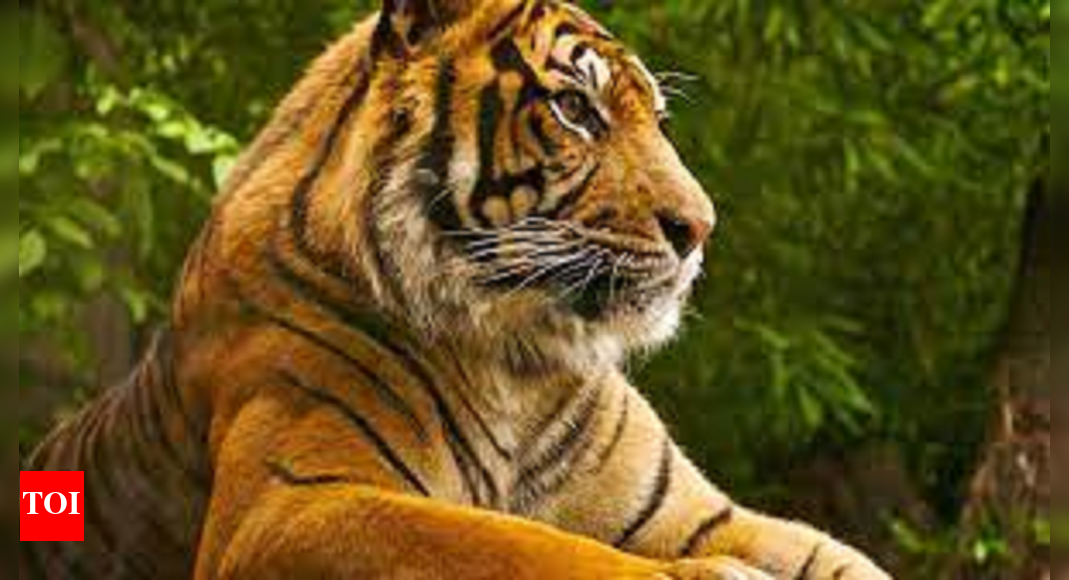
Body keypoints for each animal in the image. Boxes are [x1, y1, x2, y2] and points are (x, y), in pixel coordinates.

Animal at [22, 1, 893, 578]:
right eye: (573, 108)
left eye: (656, 119)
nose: (700, 227)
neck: (518, 358)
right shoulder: (291, 503)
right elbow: (534, 548)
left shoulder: (702, 515)